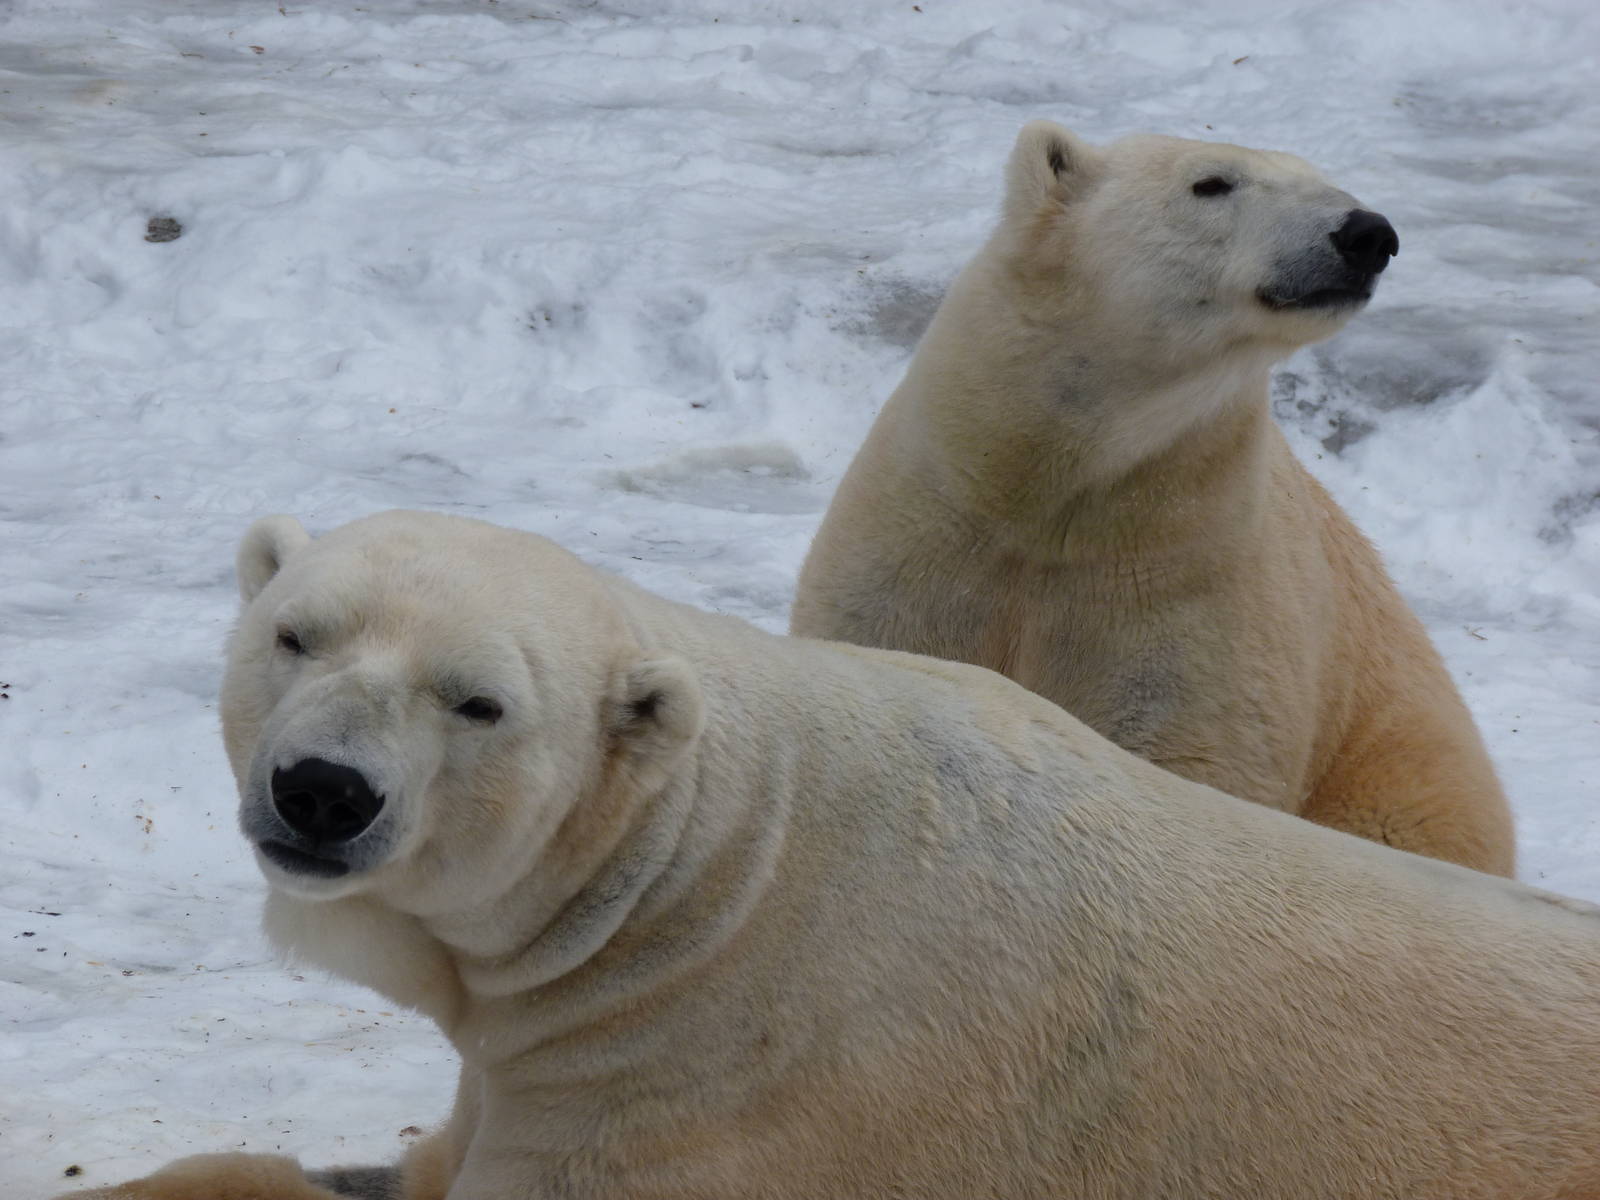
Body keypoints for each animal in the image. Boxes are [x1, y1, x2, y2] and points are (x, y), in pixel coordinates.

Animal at [791, 121, 1515, 876]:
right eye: (1212, 183)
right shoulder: (927, 542)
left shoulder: (1187, 589)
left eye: (1324, 181)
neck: (1049, 488)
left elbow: (1187, 755)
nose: (1368, 233)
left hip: (1401, 777)